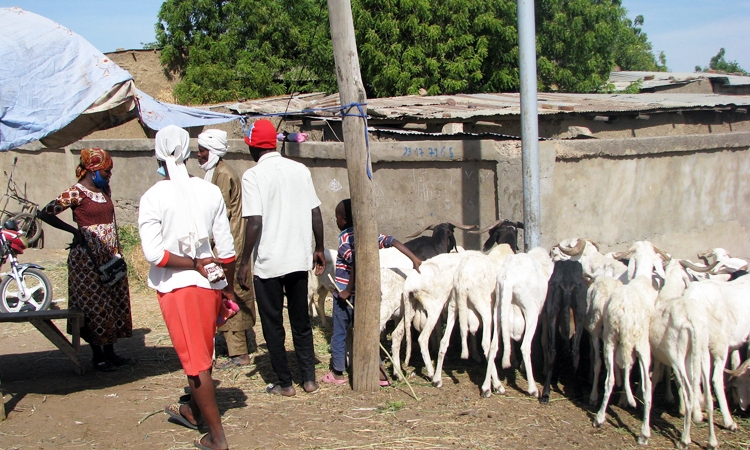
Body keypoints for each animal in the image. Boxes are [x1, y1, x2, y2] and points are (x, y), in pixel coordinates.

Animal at [544, 260, 592, 404]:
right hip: (580, 315)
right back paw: (578, 393)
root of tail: (567, 283)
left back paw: (545, 394)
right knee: (575, 352)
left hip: (552, 312)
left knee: (552, 350)